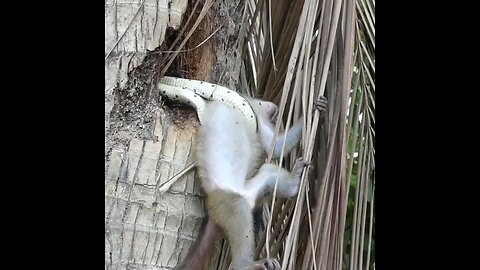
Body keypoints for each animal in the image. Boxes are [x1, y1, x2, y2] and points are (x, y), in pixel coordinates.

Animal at [177, 96, 330, 268]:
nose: (275, 113)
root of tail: (211, 208)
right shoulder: (255, 108)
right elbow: (275, 146)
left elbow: (275, 146)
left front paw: (317, 111)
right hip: (227, 202)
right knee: (240, 210)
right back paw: (244, 264)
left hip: (251, 191)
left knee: (268, 173)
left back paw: (294, 185)